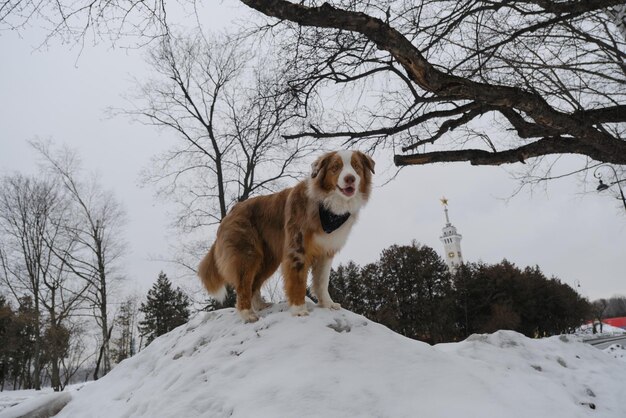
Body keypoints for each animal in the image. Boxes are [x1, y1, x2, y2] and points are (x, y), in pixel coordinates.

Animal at [197, 150, 372, 324]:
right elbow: (298, 281)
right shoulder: (297, 249)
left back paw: (261, 305)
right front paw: (299, 310)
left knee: (254, 283)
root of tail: (232, 211)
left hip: (268, 259)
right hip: (247, 254)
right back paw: (248, 314)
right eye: (336, 167)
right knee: (243, 285)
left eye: (356, 167)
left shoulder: (326, 250)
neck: (328, 206)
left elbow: (322, 281)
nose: (350, 178)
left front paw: (327, 304)